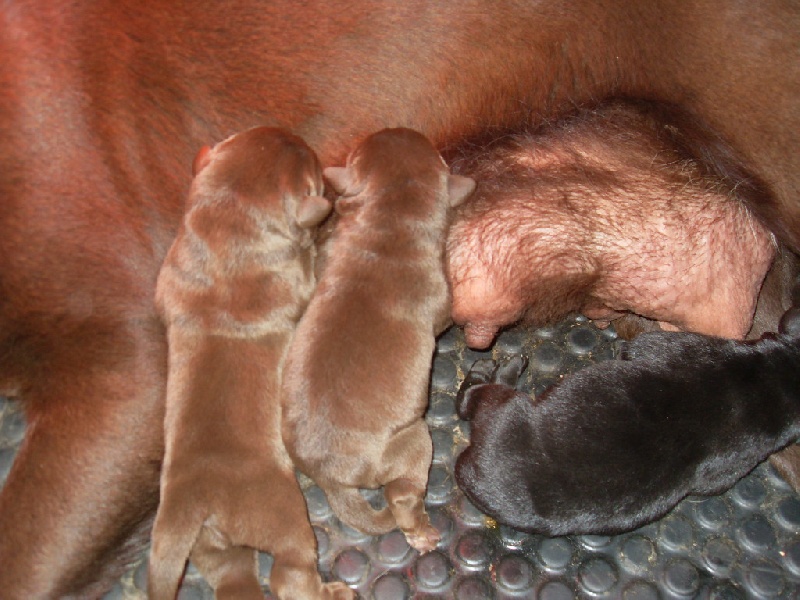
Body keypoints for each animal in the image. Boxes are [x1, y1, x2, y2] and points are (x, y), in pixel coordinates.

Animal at [148, 127, 354, 600]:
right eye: (313, 168)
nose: (297, 135)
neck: (228, 229)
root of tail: (194, 504)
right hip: (286, 521)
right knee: (290, 577)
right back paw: (336, 591)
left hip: (212, 551)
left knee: (236, 579)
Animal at [282, 129, 476, 552]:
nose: (394, 129)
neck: (389, 225)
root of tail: (328, 478)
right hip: (414, 441)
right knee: (401, 495)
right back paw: (422, 532)